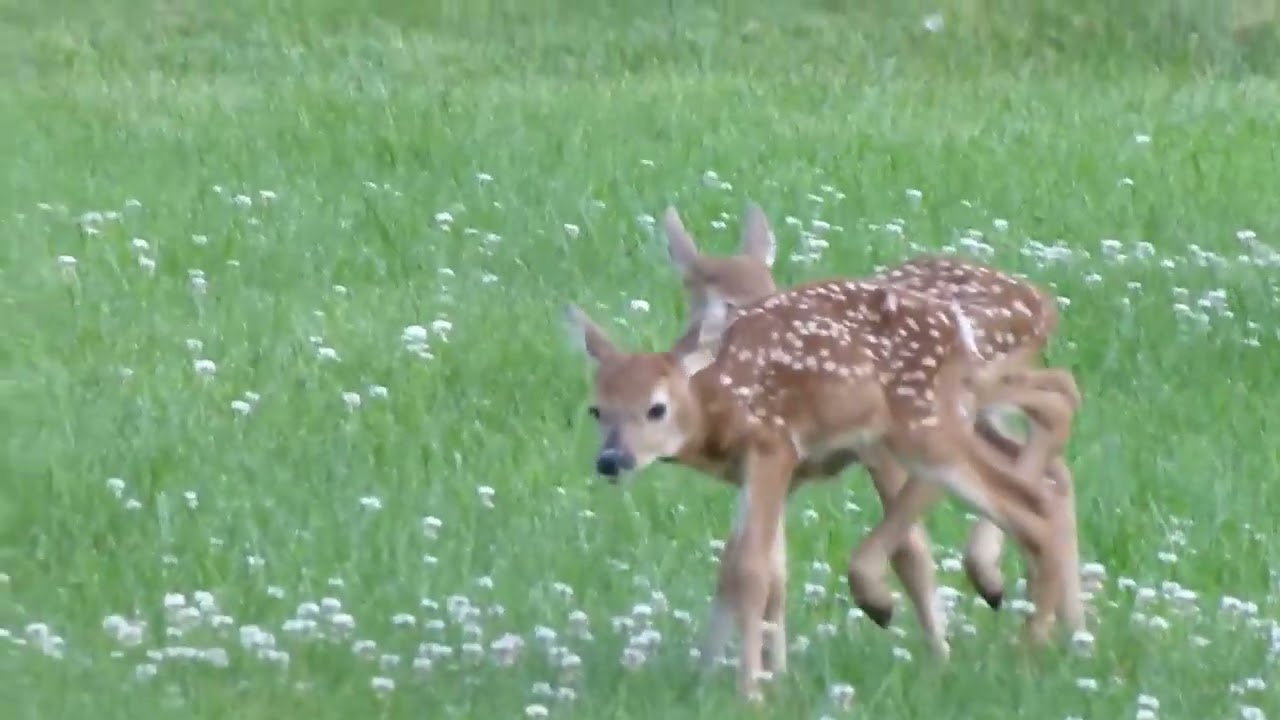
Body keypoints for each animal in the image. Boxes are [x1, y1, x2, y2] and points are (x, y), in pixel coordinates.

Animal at [563, 278, 1082, 700]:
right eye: (596, 409)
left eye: (656, 408)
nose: (611, 460)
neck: (720, 409)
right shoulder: (762, 475)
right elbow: (741, 572)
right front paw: (710, 677)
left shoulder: (772, 446)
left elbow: (751, 572)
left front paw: (749, 691)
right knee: (1040, 488)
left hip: (926, 430)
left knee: (1029, 497)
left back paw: (1027, 649)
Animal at [656, 203, 1084, 648]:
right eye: (718, 300)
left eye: (767, 289)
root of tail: (1039, 303)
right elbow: (764, 571)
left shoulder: (872, 447)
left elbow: (911, 551)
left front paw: (915, 633)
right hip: (980, 406)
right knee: (1052, 453)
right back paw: (1070, 626)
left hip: (962, 397)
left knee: (1053, 411)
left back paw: (1004, 589)